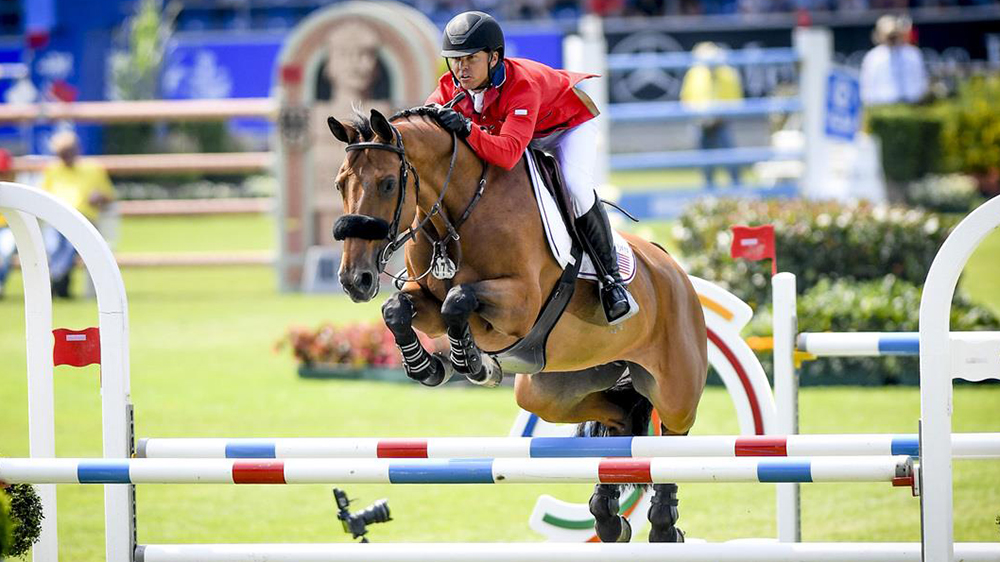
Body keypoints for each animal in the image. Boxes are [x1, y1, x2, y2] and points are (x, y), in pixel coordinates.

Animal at [327, 106, 707, 543]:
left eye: (388, 183)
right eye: (340, 184)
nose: (354, 280)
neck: (459, 214)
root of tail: (673, 270)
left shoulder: (520, 304)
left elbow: (459, 301)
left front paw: (472, 363)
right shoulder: (426, 297)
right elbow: (398, 310)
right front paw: (429, 367)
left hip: (674, 388)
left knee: (672, 439)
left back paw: (662, 526)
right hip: (552, 391)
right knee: (620, 418)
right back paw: (608, 517)